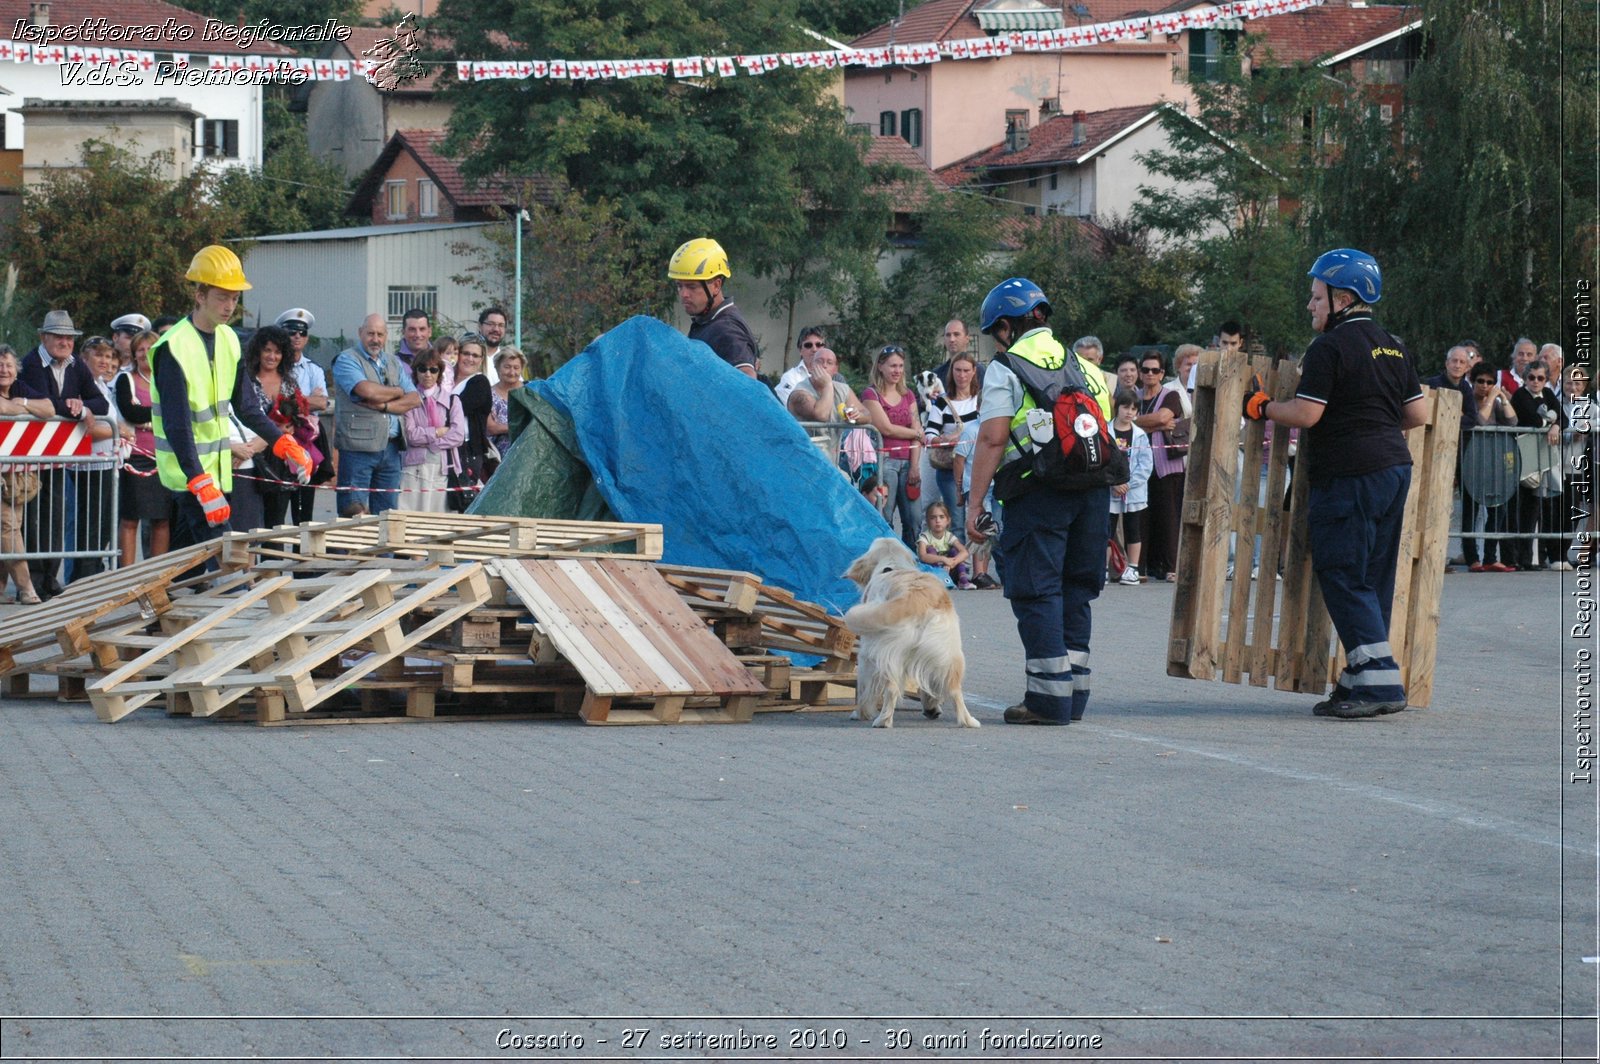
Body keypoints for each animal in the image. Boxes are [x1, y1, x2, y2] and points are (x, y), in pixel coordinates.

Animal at [844, 534, 979, 726]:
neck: (892, 566)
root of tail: (915, 595)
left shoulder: (865, 653)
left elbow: (863, 686)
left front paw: (860, 712)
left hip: (887, 654)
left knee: (891, 688)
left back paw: (883, 721)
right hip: (947, 653)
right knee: (953, 688)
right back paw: (964, 720)